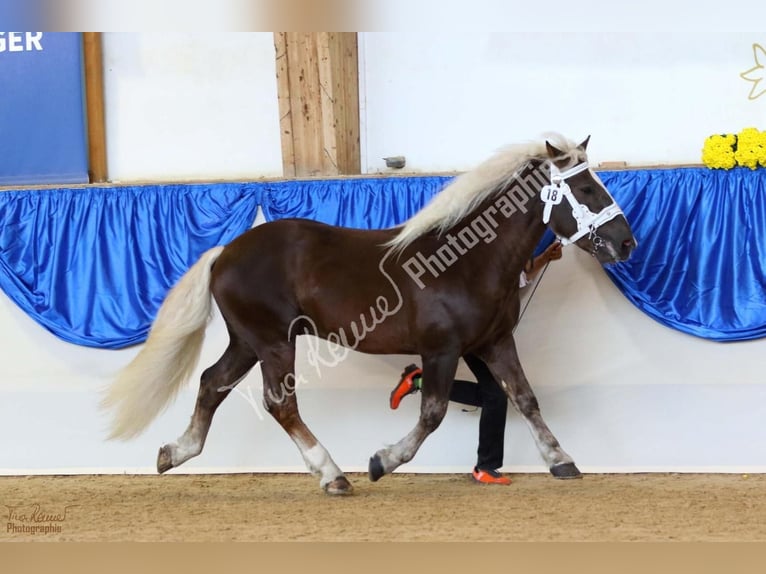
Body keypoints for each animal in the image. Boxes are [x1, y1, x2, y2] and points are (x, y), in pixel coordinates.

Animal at [105, 134, 640, 496]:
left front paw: (561, 461)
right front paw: (383, 461)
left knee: (212, 384)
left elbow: (525, 398)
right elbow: (433, 413)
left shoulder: (495, 342)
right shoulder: (441, 350)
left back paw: (174, 453)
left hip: (246, 341)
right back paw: (333, 476)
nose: (626, 243)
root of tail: (224, 252)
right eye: (586, 188)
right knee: (280, 403)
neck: (466, 261)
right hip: (274, 341)